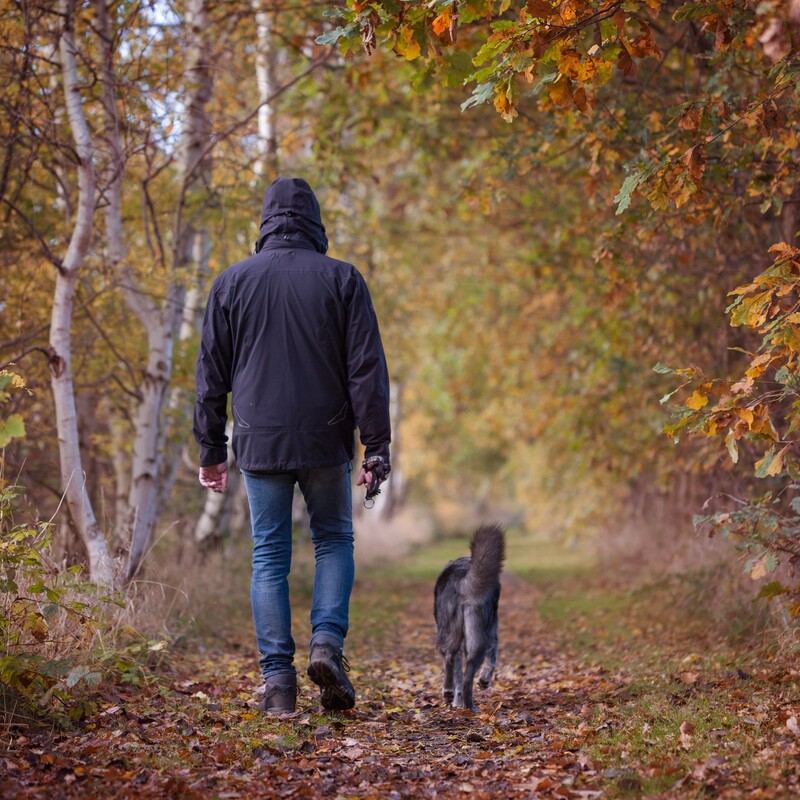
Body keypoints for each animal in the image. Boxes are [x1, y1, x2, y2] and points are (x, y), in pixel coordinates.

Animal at [434, 524, 504, 712]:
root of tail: (461, 578)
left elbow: (457, 672)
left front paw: (455, 701)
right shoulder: (492, 632)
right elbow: (493, 657)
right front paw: (484, 680)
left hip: (449, 631)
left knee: (450, 657)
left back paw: (449, 692)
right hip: (478, 638)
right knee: (467, 678)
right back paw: (471, 707)